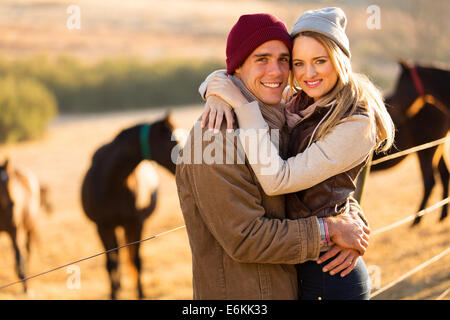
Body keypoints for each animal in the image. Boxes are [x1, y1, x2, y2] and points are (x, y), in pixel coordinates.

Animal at [0, 159, 42, 292]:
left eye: (10, 180)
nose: (11, 204)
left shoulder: (14, 231)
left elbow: (19, 255)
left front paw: (25, 284)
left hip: (30, 227)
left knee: (27, 250)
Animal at [81, 114, 179, 298]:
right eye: (172, 141)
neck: (113, 183)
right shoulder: (102, 226)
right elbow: (111, 263)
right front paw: (113, 294)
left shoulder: (135, 224)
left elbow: (136, 259)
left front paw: (141, 294)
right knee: (116, 256)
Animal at [370, 60, 448, 225]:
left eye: (400, 86)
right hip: (437, 147)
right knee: (445, 175)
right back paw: (441, 217)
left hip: (426, 150)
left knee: (430, 181)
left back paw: (416, 221)